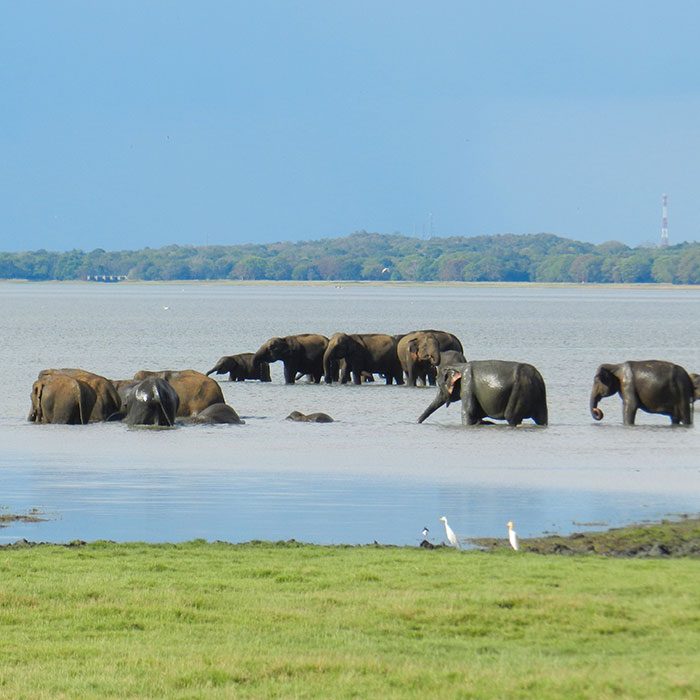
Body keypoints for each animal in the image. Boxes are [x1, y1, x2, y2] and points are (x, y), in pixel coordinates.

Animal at [416, 360, 548, 426]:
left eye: (439, 385)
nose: (417, 422)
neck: (459, 365)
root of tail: (537, 378)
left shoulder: (467, 383)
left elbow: (468, 411)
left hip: (519, 392)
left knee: (511, 417)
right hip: (538, 397)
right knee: (541, 418)